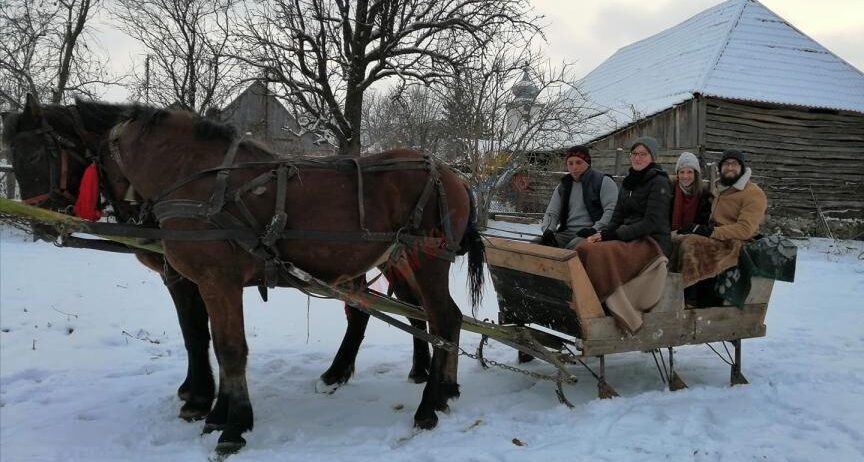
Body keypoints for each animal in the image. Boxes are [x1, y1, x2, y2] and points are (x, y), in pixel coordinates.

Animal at [3, 96, 486, 452]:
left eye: (37, 152)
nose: (38, 223)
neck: (189, 177)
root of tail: (453, 174)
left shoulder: (214, 280)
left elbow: (226, 347)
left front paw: (230, 423)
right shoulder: (198, 281)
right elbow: (204, 339)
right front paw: (213, 409)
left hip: (425, 259)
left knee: (443, 319)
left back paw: (430, 404)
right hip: (391, 261)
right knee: (414, 316)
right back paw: (427, 385)